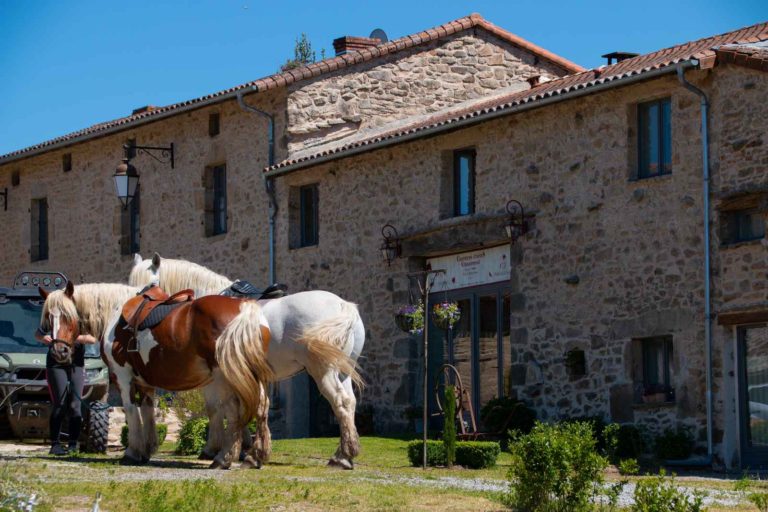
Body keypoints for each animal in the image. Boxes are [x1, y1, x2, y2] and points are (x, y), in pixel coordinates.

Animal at [40, 281, 273, 469]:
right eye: (49, 318)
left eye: (68, 315)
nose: (59, 352)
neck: (115, 313)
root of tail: (243, 308)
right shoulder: (145, 381)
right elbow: (147, 410)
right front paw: (147, 450)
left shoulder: (123, 376)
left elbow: (131, 411)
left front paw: (132, 453)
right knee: (261, 407)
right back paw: (253, 457)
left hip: (225, 377)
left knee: (234, 412)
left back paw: (223, 459)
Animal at [129, 253, 366, 469]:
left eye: (151, 286)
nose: (133, 317)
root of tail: (344, 306)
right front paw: (243, 448)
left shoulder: (218, 378)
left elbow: (217, 409)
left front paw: (218, 450)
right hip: (342, 372)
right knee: (350, 403)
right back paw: (345, 455)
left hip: (323, 371)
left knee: (341, 402)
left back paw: (341, 457)